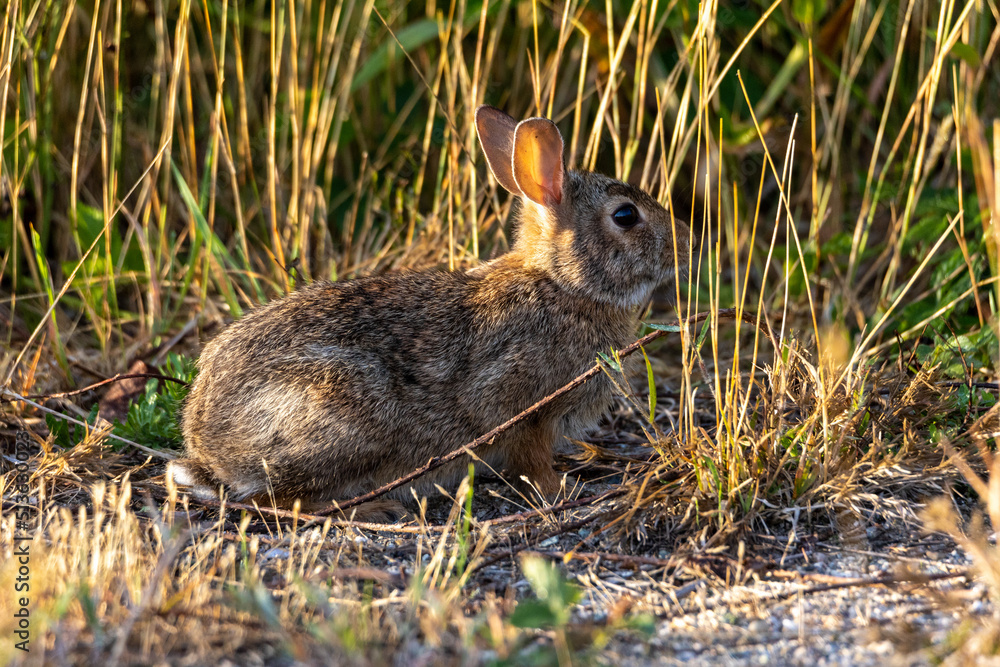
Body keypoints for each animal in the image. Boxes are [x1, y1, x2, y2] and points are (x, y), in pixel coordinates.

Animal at [169, 105, 691, 509]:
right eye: (625, 216)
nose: (684, 243)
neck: (564, 285)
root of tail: (209, 450)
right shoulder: (522, 405)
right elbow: (530, 459)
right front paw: (560, 491)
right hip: (343, 418)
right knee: (279, 499)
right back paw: (374, 508)